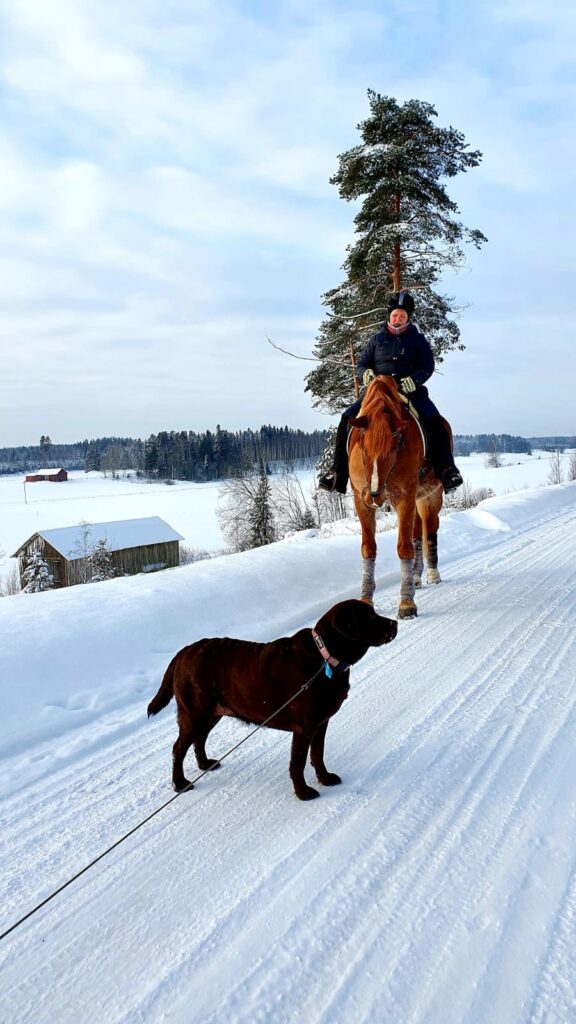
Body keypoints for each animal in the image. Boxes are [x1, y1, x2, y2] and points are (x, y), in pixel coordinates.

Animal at [344, 376, 444, 614]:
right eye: (364, 449)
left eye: (393, 448)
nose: (375, 495)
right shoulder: (361, 502)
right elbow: (368, 549)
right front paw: (366, 599)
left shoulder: (405, 498)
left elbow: (404, 547)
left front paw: (407, 603)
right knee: (417, 534)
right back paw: (416, 577)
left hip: (431, 497)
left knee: (430, 529)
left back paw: (432, 573)